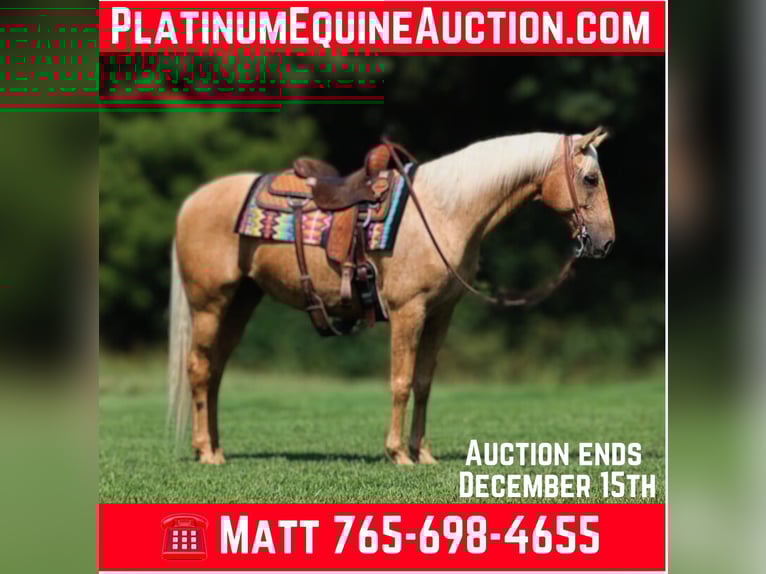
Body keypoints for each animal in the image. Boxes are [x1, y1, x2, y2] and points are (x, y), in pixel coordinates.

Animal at [168, 127, 615, 466]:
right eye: (591, 178)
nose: (606, 242)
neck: (442, 212)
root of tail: (192, 202)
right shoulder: (408, 311)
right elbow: (401, 381)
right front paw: (398, 453)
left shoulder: (441, 313)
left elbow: (424, 382)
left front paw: (424, 454)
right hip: (209, 303)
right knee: (199, 369)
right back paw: (206, 452)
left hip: (241, 301)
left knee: (216, 371)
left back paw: (216, 448)